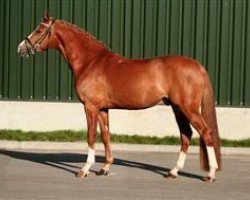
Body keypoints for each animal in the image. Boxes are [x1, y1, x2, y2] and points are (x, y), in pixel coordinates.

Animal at [17, 11, 221, 182]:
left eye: (39, 29)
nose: (20, 48)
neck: (91, 62)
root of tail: (198, 65)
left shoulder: (90, 107)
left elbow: (91, 136)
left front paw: (85, 169)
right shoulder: (102, 109)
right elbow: (106, 135)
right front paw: (104, 168)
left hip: (188, 108)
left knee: (206, 133)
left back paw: (210, 174)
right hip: (177, 109)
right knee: (186, 135)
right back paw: (174, 172)